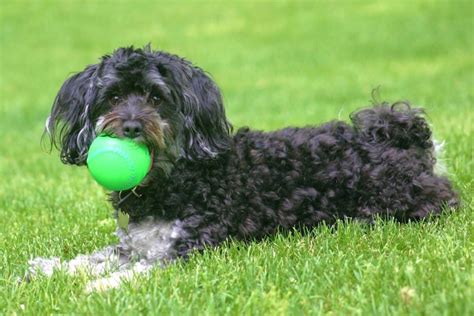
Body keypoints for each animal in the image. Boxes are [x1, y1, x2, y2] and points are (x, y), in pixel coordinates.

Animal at [28, 45, 456, 290]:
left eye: (156, 97)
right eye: (113, 97)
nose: (131, 126)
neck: (175, 178)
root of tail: (403, 141)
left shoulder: (192, 248)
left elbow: (138, 271)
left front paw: (100, 288)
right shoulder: (136, 244)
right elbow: (91, 259)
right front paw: (49, 270)